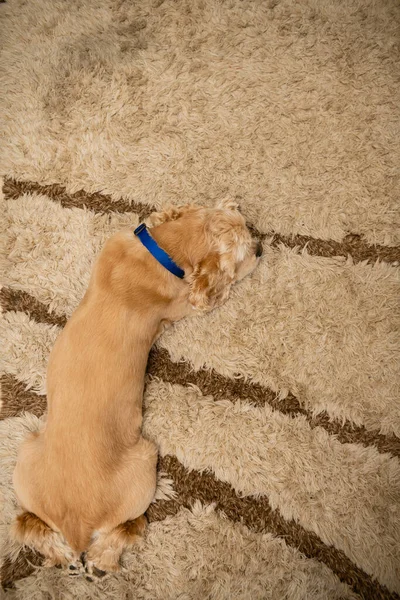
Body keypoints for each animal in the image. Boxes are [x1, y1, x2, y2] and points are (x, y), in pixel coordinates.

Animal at [11, 199, 262, 576]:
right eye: (245, 253)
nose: (261, 248)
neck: (162, 249)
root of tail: (77, 527)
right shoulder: (181, 305)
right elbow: (203, 299)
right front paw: (222, 289)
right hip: (144, 464)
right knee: (119, 533)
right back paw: (101, 561)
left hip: (24, 459)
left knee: (30, 525)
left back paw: (62, 557)